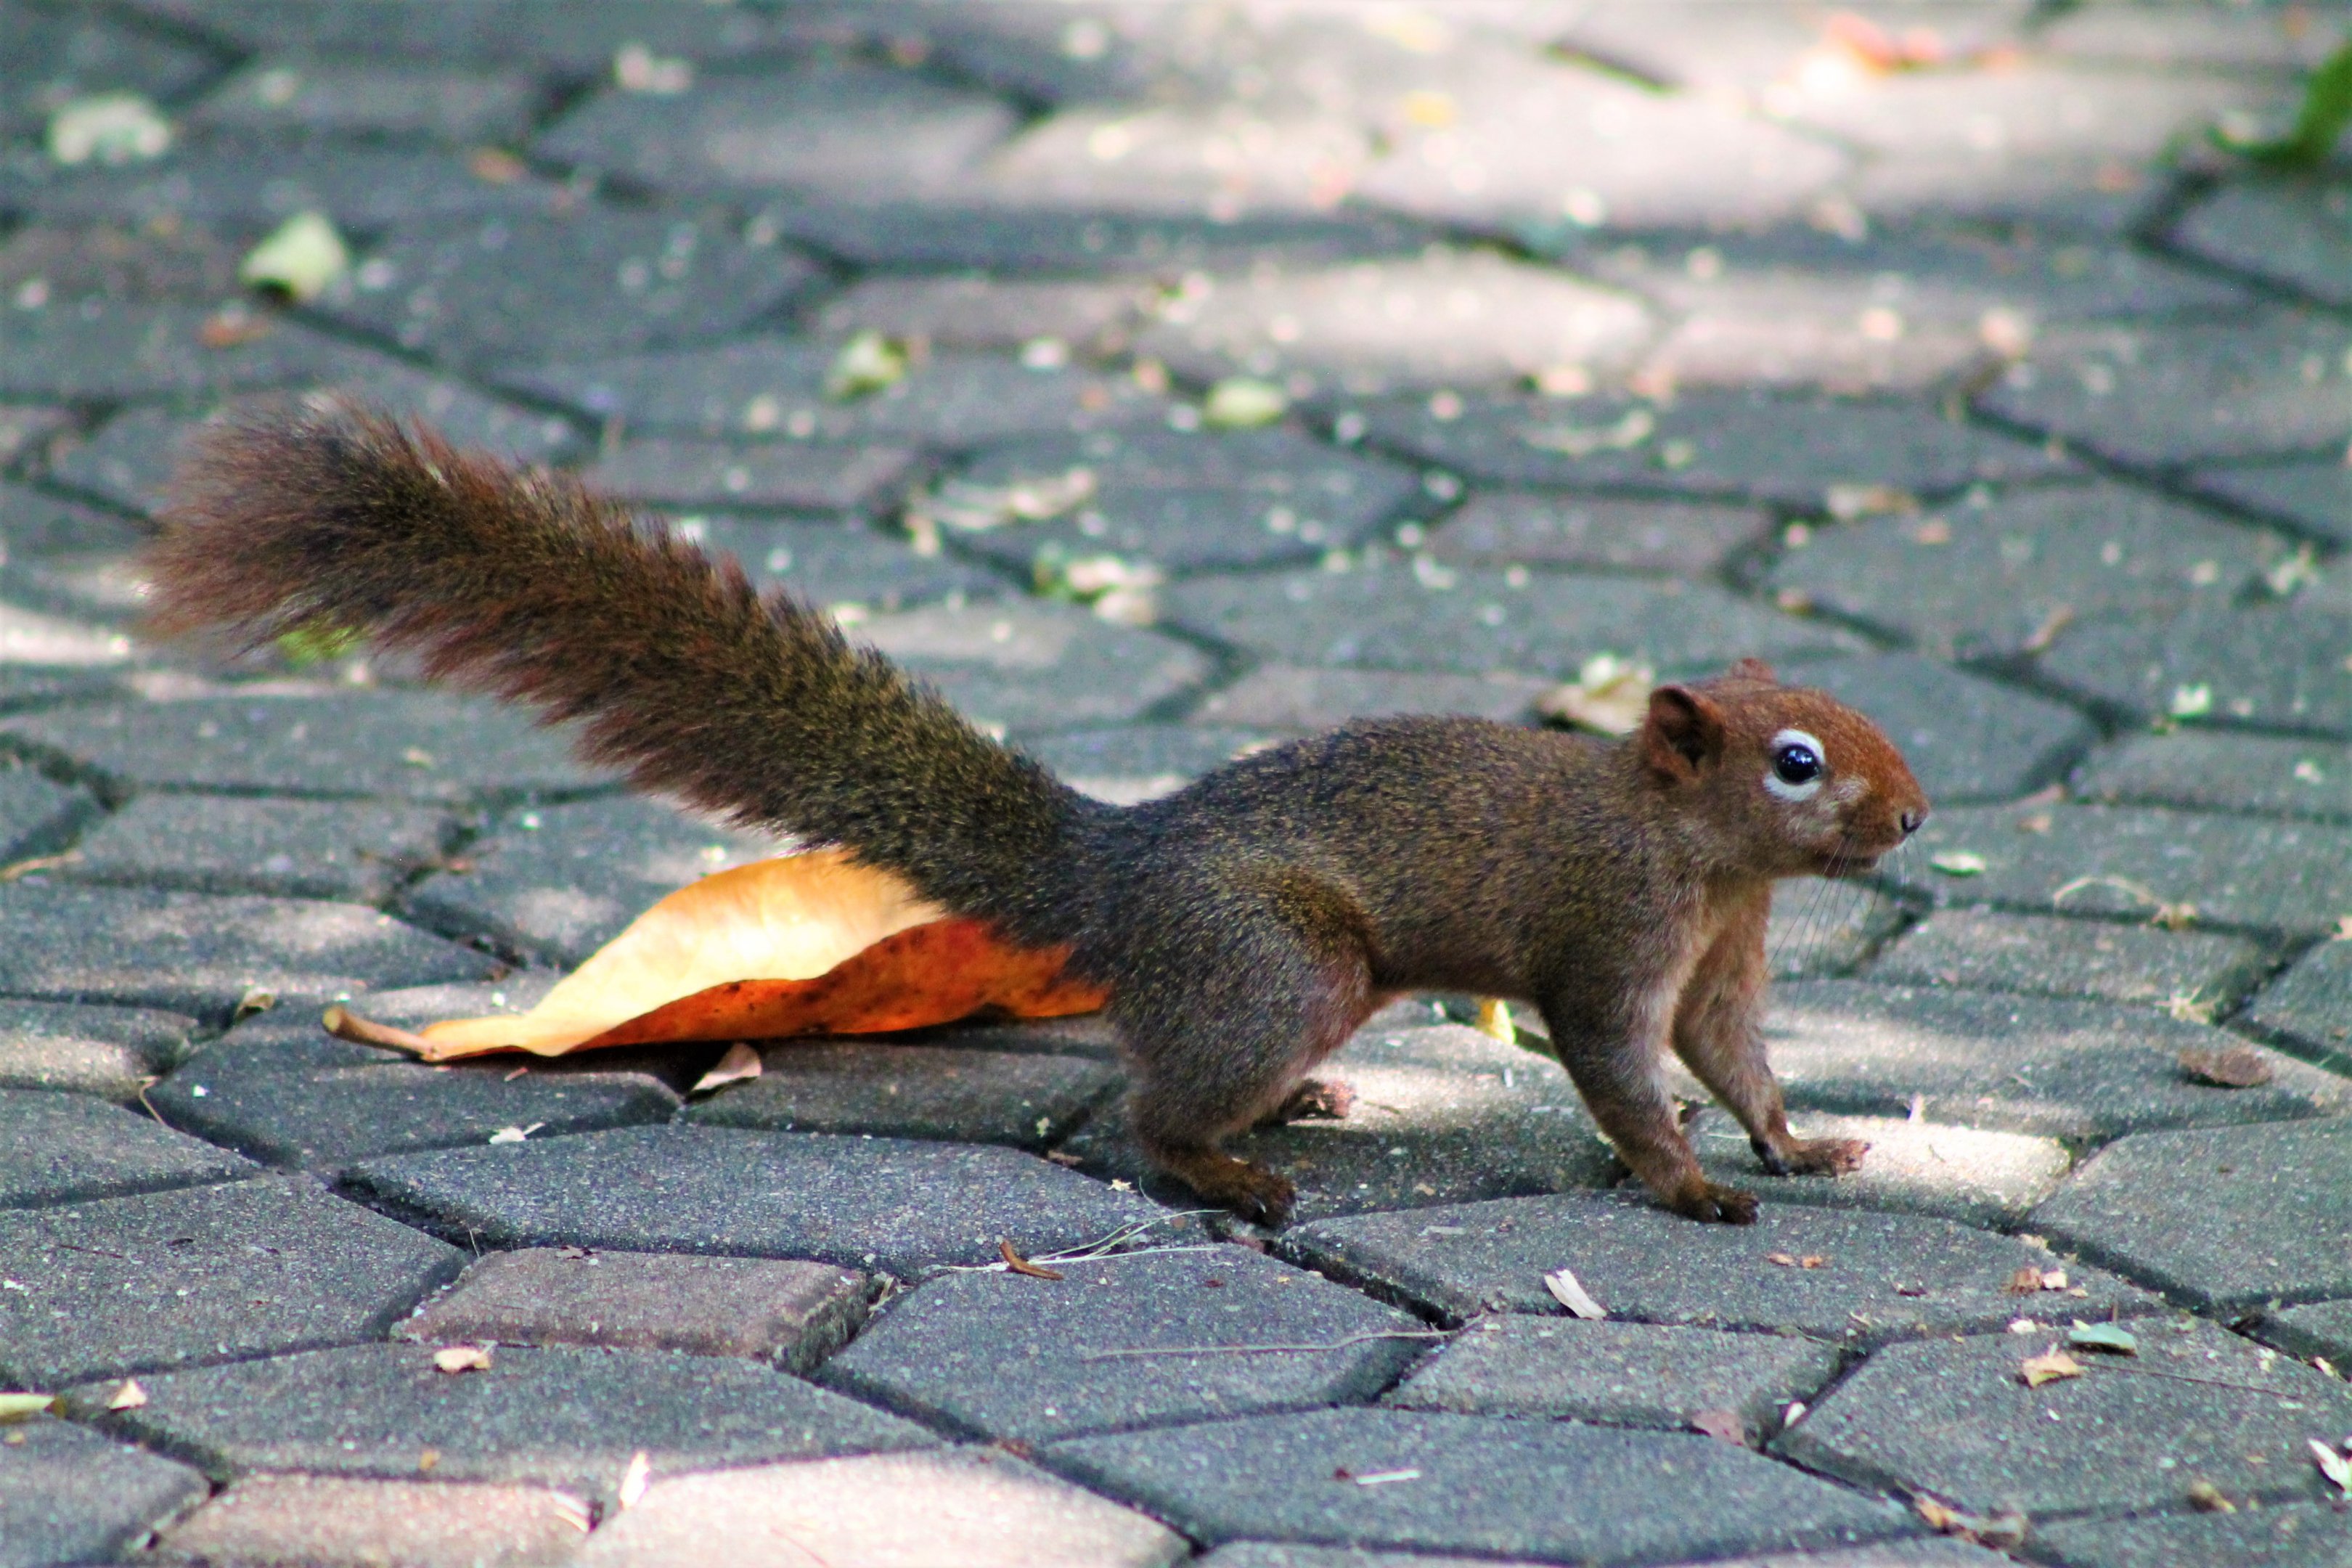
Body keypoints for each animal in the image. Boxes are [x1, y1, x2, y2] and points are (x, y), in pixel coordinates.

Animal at [144, 404, 1929, 1228]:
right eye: (1794, 758)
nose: (1914, 818)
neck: (1704, 861)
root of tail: (1120, 871)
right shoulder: (1613, 930)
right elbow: (1626, 1073)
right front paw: (1694, 1188)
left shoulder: (1722, 956)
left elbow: (1732, 1058)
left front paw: (1796, 1140)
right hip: (1285, 964)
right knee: (1154, 1111)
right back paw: (1235, 1172)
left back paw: (1297, 1114)